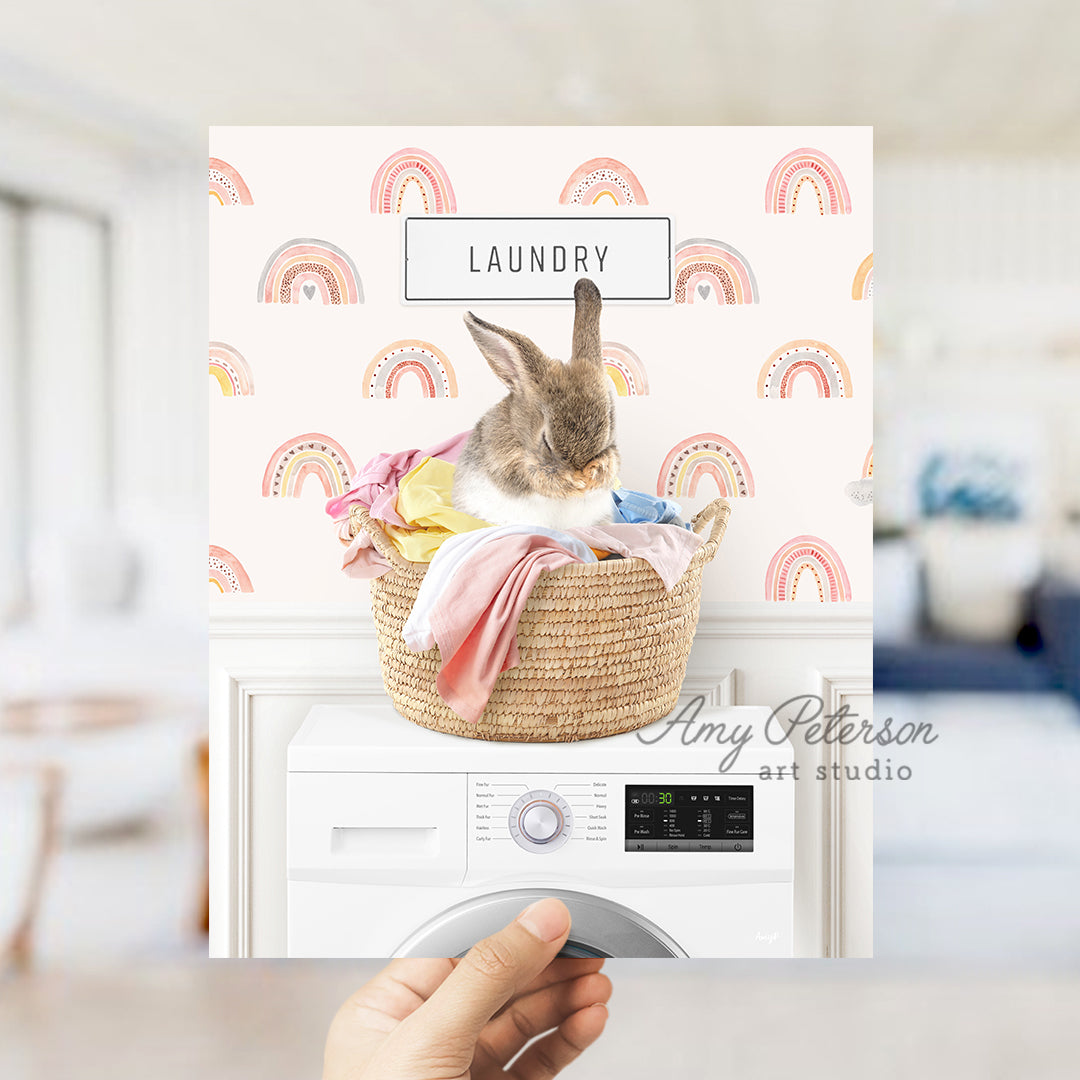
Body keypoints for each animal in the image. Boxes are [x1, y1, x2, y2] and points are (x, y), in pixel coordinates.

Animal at [451, 278, 622, 531]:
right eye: (545, 442)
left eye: (609, 432)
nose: (580, 472)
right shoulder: (510, 467)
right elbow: (536, 478)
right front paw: (572, 483)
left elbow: (612, 463)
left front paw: (594, 474)